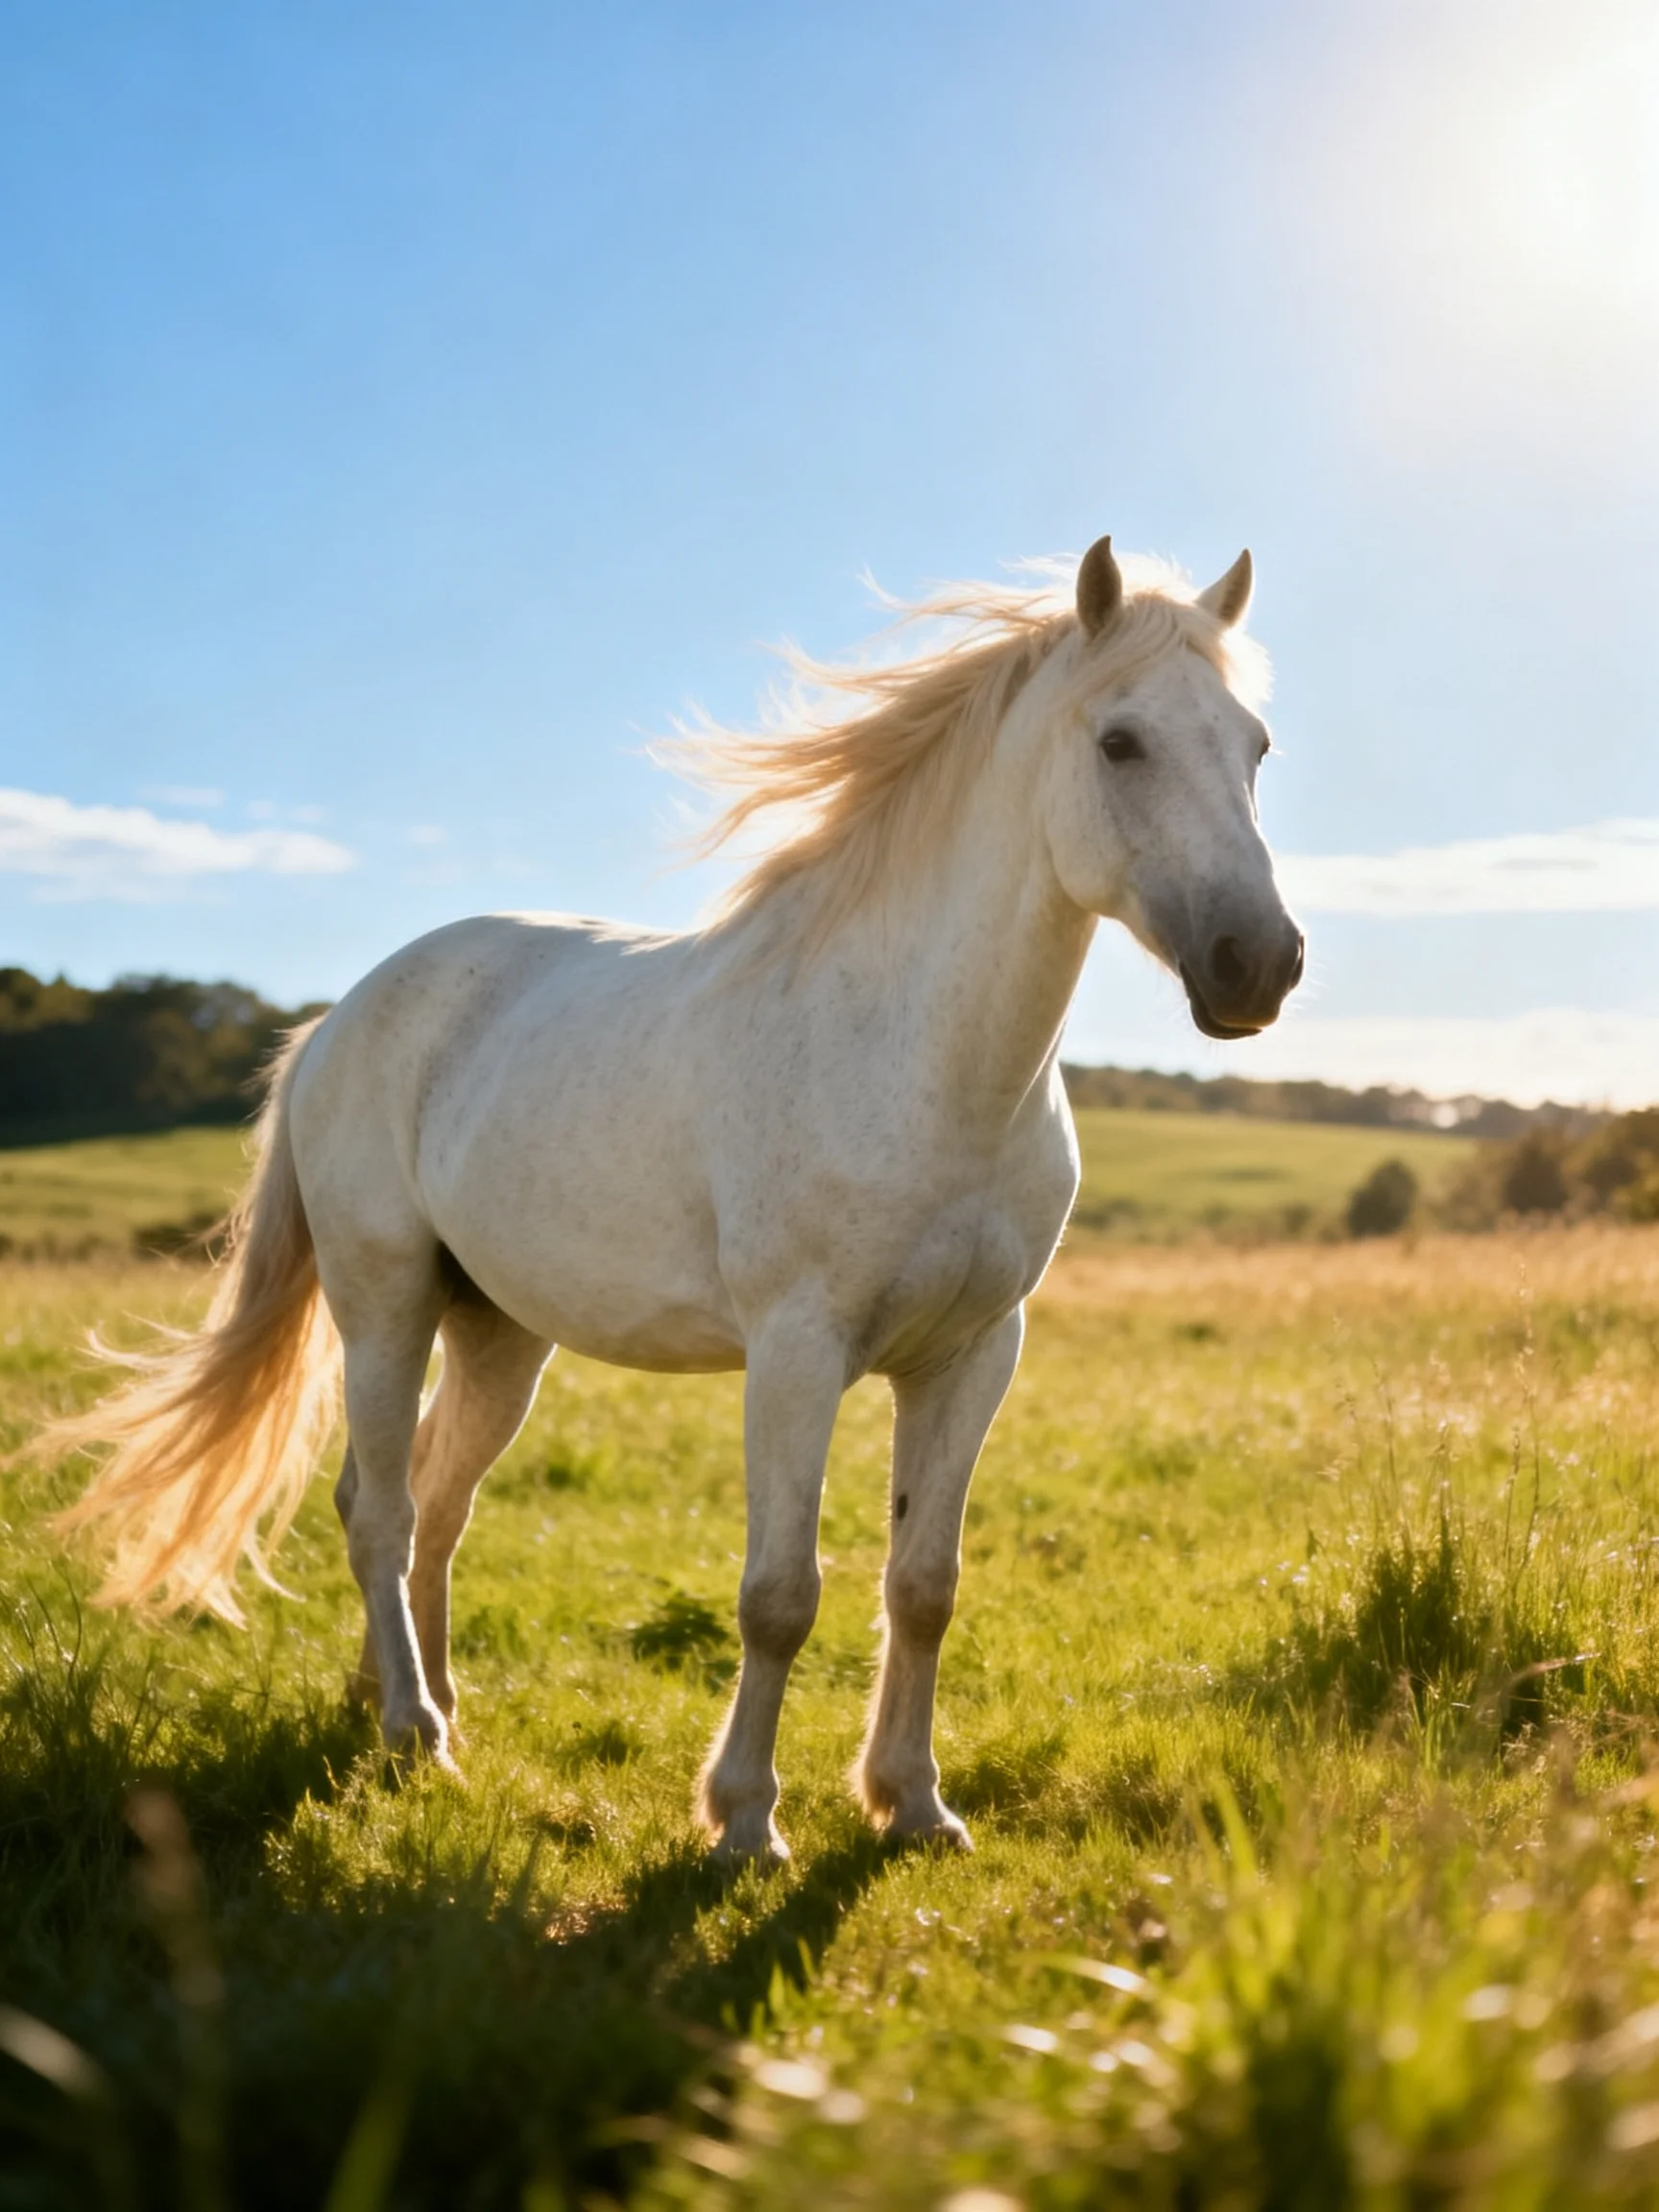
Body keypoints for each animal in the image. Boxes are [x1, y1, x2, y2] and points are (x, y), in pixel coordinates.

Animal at [50, 534, 1303, 1864]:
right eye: (1120, 741)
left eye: (1255, 745)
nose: (1259, 965)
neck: (920, 1054)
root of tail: (339, 1020)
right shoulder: (798, 1351)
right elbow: (780, 1596)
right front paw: (745, 1819)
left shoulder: (972, 1355)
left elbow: (924, 1586)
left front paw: (913, 1805)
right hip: (382, 1303)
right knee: (377, 1507)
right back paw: (409, 1732)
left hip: (500, 1333)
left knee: (439, 1502)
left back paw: (418, 1701)